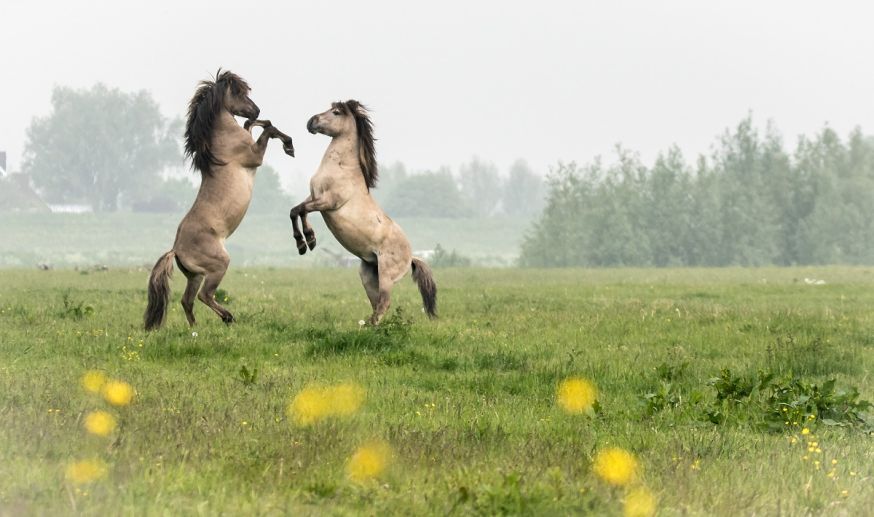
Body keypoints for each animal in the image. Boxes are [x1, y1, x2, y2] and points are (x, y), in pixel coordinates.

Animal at [143, 69, 292, 330]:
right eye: (239, 93)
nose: (256, 109)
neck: (222, 140)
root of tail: (176, 249)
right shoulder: (255, 156)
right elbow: (268, 131)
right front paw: (289, 144)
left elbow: (252, 125)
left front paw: (266, 125)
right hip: (218, 265)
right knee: (205, 295)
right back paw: (228, 317)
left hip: (195, 275)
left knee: (187, 300)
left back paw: (195, 329)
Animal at [288, 101, 434, 324]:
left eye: (336, 112)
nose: (311, 122)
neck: (341, 168)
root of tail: (411, 257)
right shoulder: (313, 197)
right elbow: (296, 211)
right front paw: (307, 242)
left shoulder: (328, 202)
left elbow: (299, 210)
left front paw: (306, 241)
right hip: (368, 274)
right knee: (376, 303)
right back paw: (369, 326)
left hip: (386, 276)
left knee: (384, 303)